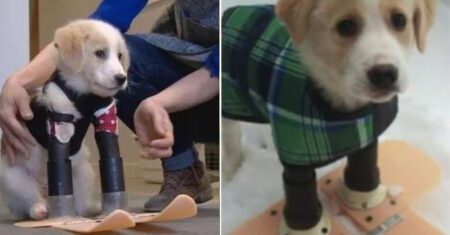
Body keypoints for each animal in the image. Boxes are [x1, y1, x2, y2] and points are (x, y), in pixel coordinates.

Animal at [0, 19, 130, 219]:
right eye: (100, 53)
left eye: (120, 55)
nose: (121, 78)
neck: (84, 95)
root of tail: (46, 188)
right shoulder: (60, 120)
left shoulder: (106, 116)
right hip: (13, 178)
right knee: (30, 201)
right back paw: (40, 210)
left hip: (84, 172)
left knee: (81, 207)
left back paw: (93, 208)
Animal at [221, 0, 436, 233]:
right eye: (346, 26)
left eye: (400, 20)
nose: (384, 74)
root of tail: (231, 11)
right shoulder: (297, 155)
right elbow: (299, 192)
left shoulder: (367, 134)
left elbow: (365, 166)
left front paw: (368, 205)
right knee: (231, 143)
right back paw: (232, 175)